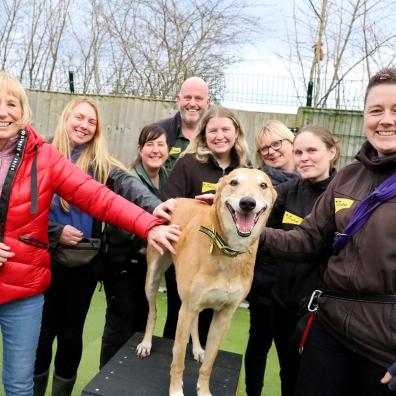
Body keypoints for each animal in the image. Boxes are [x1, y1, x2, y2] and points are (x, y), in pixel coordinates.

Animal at [135, 169, 276, 396]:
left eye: (263, 185)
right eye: (233, 182)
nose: (247, 203)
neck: (229, 252)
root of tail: (177, 200)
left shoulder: (223, 317)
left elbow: (209, 365)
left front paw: (203, 390)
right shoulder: (186, 310)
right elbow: (177, 361)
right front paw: (176, 391)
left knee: (195, 322)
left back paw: (197, 349)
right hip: (153, 278)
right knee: (152, 312)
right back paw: (146, 343)